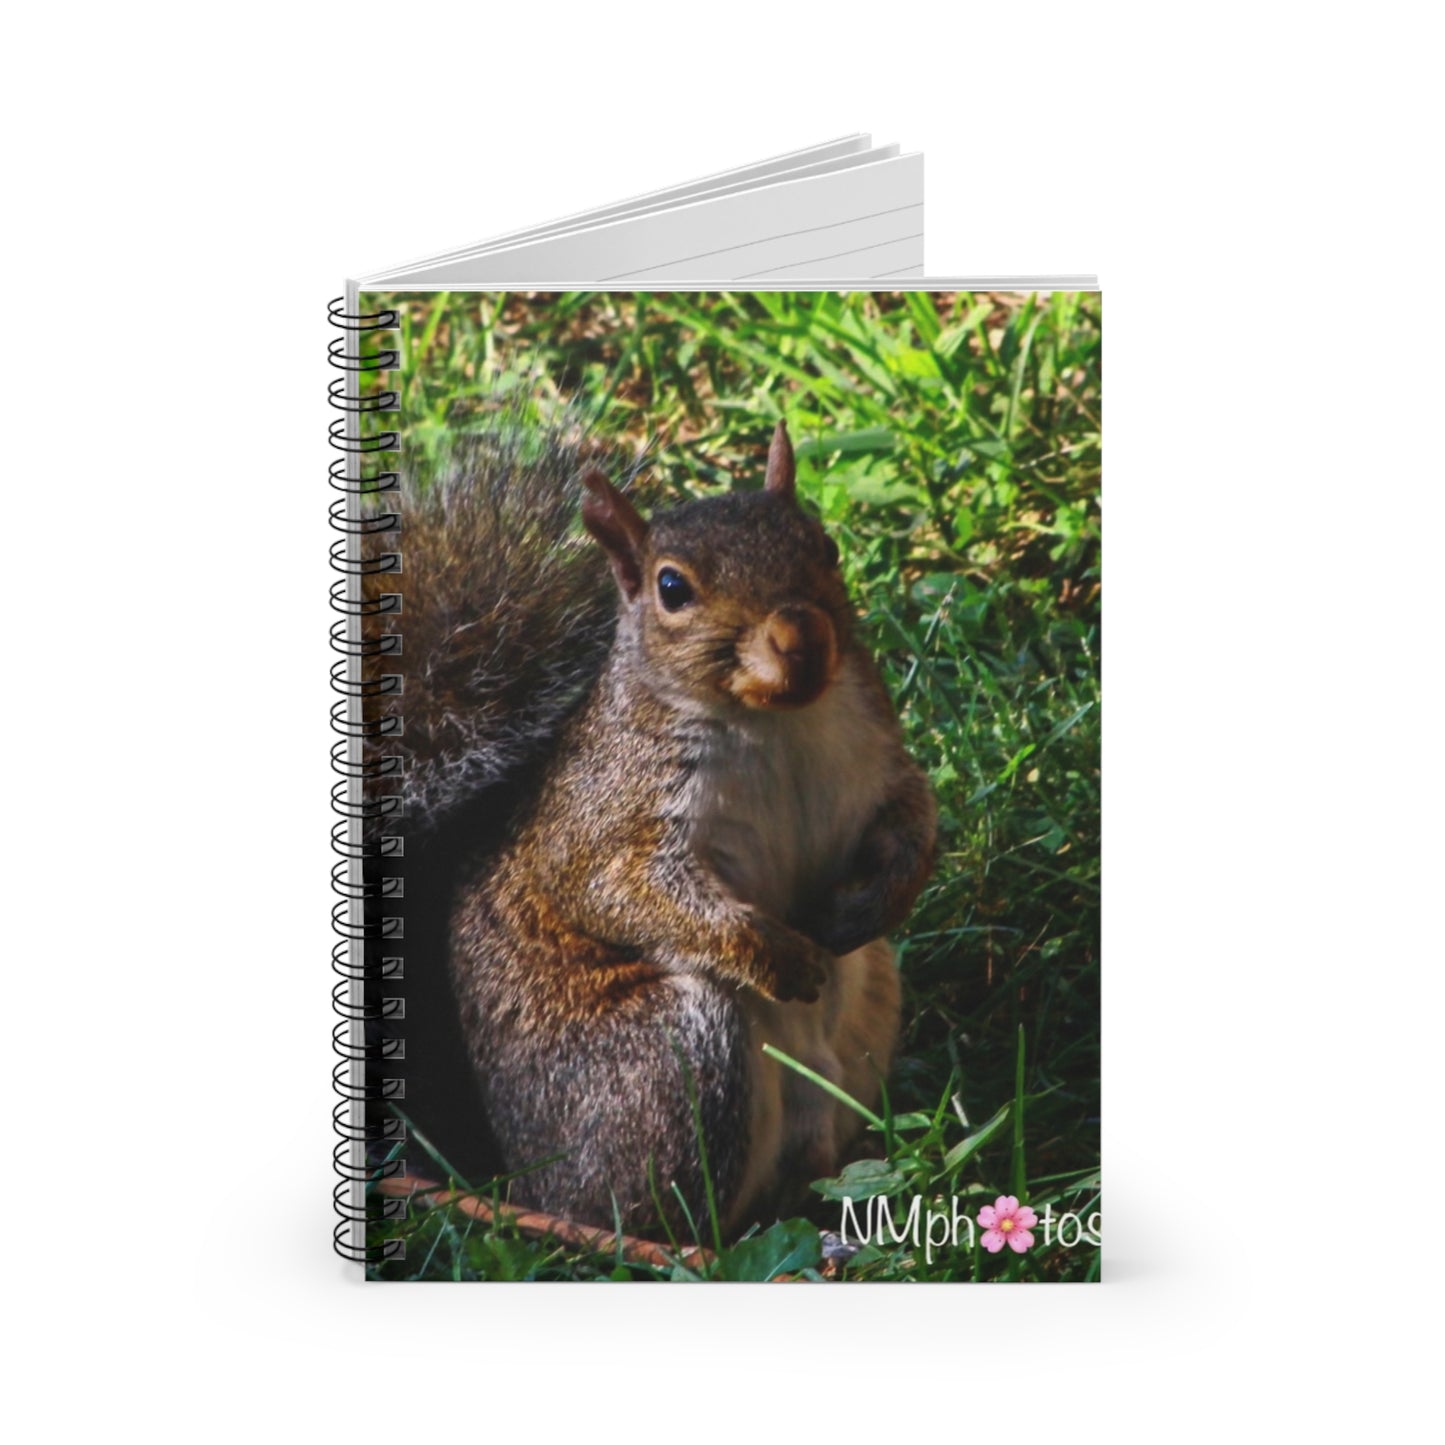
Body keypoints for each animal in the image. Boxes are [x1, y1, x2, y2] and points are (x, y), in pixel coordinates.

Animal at [363, 420, 937, 1237]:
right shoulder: (604, 821)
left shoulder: (878, 762)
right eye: (672, 588)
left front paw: (873, 902)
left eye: (825, 545)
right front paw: (776, 955)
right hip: (668, 1057)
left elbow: (914, 819)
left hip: (869, 1005)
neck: (775, 722)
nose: (801, 634)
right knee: (654, 1220)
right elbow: (624, 893)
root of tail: (528, 1186)